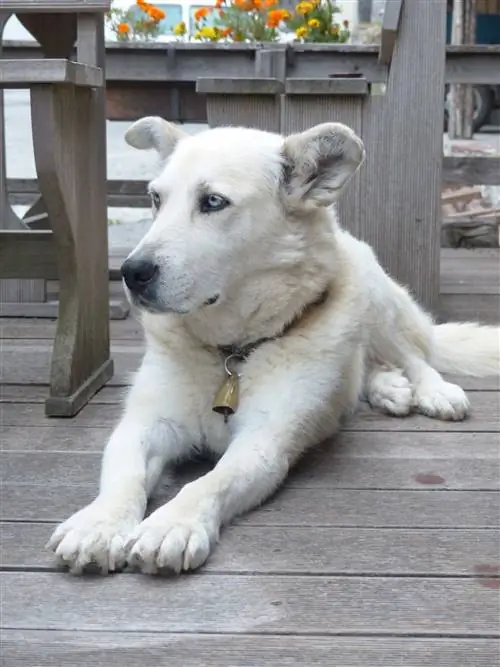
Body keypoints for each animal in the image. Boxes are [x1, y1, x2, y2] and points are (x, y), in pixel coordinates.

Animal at [47, 118, 500, 576]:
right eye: (156, 199)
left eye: (213, 202)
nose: (131, 272)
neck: (232, 351)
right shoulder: (145, 425)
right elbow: (125, 477)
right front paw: (100, 523)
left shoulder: (264, 441)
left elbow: (208, 482)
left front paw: (172, 523)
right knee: (372, 366)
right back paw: (388, 388)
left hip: (376, 297)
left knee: (414, 354)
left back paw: (433, 391)